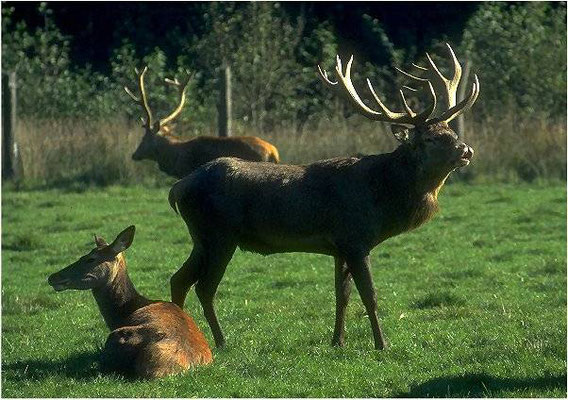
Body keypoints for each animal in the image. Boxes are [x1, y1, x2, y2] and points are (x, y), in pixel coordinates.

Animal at [168, 44, 480, 350]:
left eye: (450, 131)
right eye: (429, 138)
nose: (466, 150)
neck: (382, 197)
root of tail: (177, 188)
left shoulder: (339, 247)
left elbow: (342, 296)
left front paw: (337, 342)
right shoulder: (356, 239)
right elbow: (370, 295)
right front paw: (382, 344)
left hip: (202, 238)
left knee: (179, 279)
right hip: (219, 234)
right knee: (203, 287)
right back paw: (221, 342)